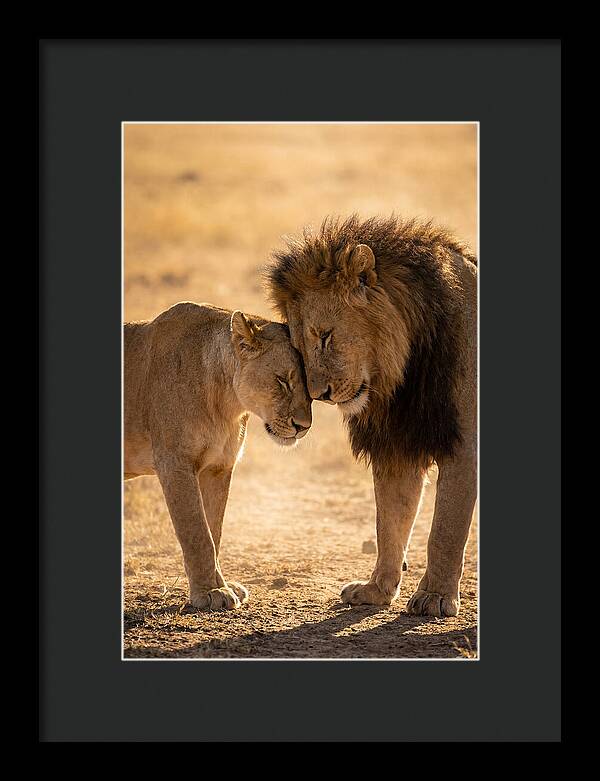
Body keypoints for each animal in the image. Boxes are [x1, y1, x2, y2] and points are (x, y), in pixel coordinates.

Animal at [124, 302, 312, 610]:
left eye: (312, 388)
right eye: (282, 381)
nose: (304, 426)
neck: (226, 403)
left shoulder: (218, 467)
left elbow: (214, 530)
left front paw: (222, 585)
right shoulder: (174, 463)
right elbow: (197, 532)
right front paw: (210, 592)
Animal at [266, 215, 477, 617]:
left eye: (325, 335)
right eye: (299, 347)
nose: (320, 395)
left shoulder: (465, 445)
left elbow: (445, 529)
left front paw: (435, 596)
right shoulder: (397, 446)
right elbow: (389, 522)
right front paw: (377, 590)